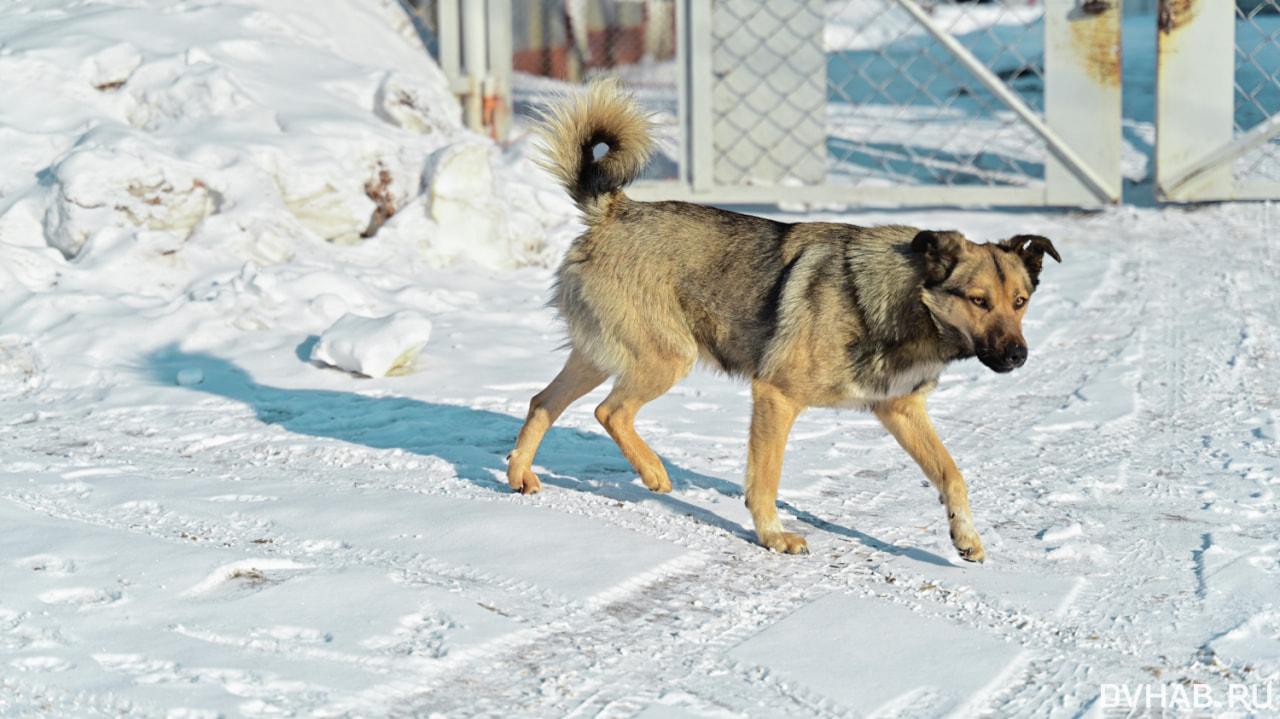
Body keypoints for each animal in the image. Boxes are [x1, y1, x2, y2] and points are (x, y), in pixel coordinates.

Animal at [501, 79, 1059, 560]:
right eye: (979, 301)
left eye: (1020, 301)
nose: (1018, 356)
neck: (907, 301)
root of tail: (615, 209)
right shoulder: (775, 396)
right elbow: (765, 480)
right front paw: (773, 537)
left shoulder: (901, 410)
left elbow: (951, 474)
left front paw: (965, 537)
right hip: (666, 357)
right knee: (609, 412)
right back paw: (655, 474)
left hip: (603, 355)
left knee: (542, 403)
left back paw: (520, 476)